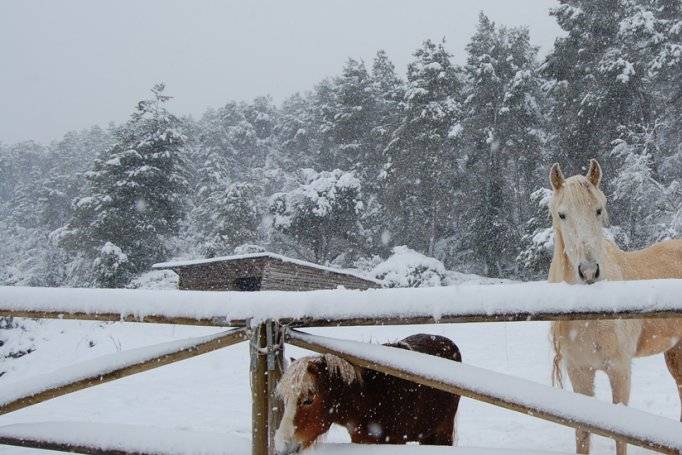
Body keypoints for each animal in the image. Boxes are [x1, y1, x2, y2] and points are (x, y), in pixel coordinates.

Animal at [544, 159, 680, 454]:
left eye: (598, 210)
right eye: (562, 215)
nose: (589, 272)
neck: (590, 316)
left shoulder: (620, 370)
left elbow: (620, 435)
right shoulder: (579, 372)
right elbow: (583, 433)